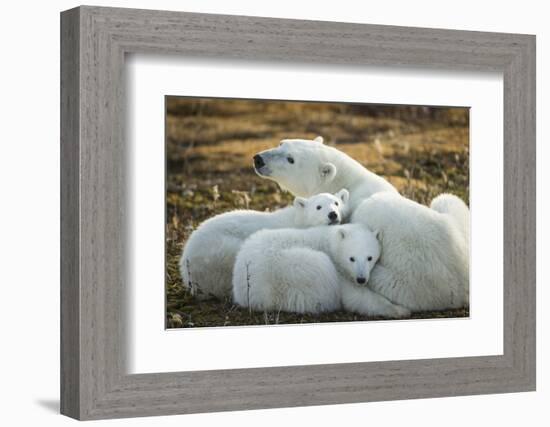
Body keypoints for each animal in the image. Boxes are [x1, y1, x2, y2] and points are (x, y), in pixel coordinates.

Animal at [232, 224, 410, 318]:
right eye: (351, 258)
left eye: (370, 258)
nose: (361, 279)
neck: (331, 242)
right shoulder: (338, 269)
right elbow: (356, 297)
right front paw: (401, 310)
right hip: (288, 270)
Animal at [254, 139, 470, 312]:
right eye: (281, 143)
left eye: (290, 159)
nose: (258, 159)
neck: (349, 182)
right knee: (446, 199)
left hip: (411, 284)